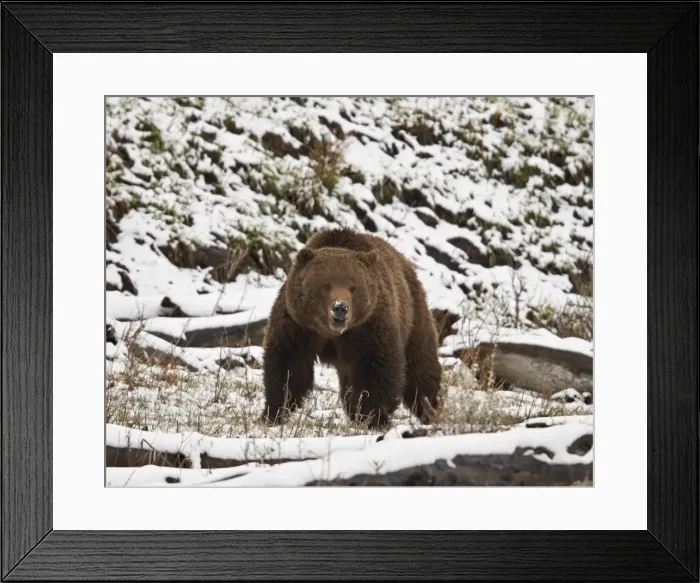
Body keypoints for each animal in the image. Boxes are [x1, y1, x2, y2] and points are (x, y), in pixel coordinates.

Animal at [260, 227, 442, 430]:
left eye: (353, 287)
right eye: (326, 285)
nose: (340, 308)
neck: (330, 333)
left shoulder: (369, 329)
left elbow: (376, 371)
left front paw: (373, 417)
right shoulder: (298, 326)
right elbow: (288, 367)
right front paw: (272, 414)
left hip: (413, 314)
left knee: (420, 368)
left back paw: (429, 410)